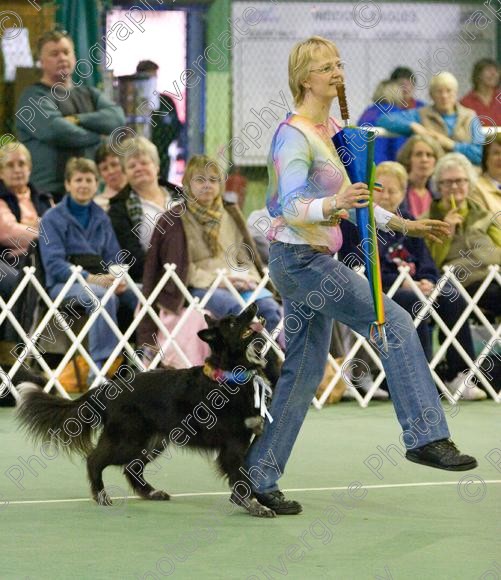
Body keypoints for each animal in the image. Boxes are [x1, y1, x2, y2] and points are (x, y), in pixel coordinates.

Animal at [15, 304, 280, 516]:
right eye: (234, 322)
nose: (254, 305)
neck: (234, 373)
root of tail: (109, 388)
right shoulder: (233, 444)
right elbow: (242, 479)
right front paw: (256, 507)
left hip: (153, 440)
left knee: (132, 467)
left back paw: (151, 493)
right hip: (128, 438)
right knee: (95, 459)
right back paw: (101, 495)